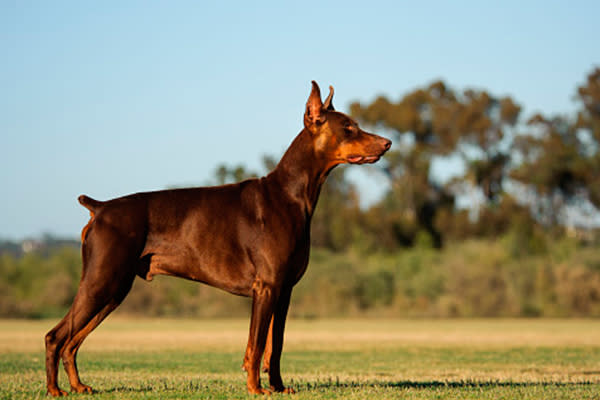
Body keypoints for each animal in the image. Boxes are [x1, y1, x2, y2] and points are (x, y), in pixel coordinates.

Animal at [44, 80, 392, 394]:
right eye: (349, 128)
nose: (387, 143)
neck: (290, 194)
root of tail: (100, 207)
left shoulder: (284, 290)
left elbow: (275, 345)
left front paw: (278, 387)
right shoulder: (266, 287)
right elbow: (256, 345)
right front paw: (256, 389)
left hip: (114, 290)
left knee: (72, 341)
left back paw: (78, 386)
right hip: (101, 282)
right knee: (56, 336)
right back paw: (55, 390)